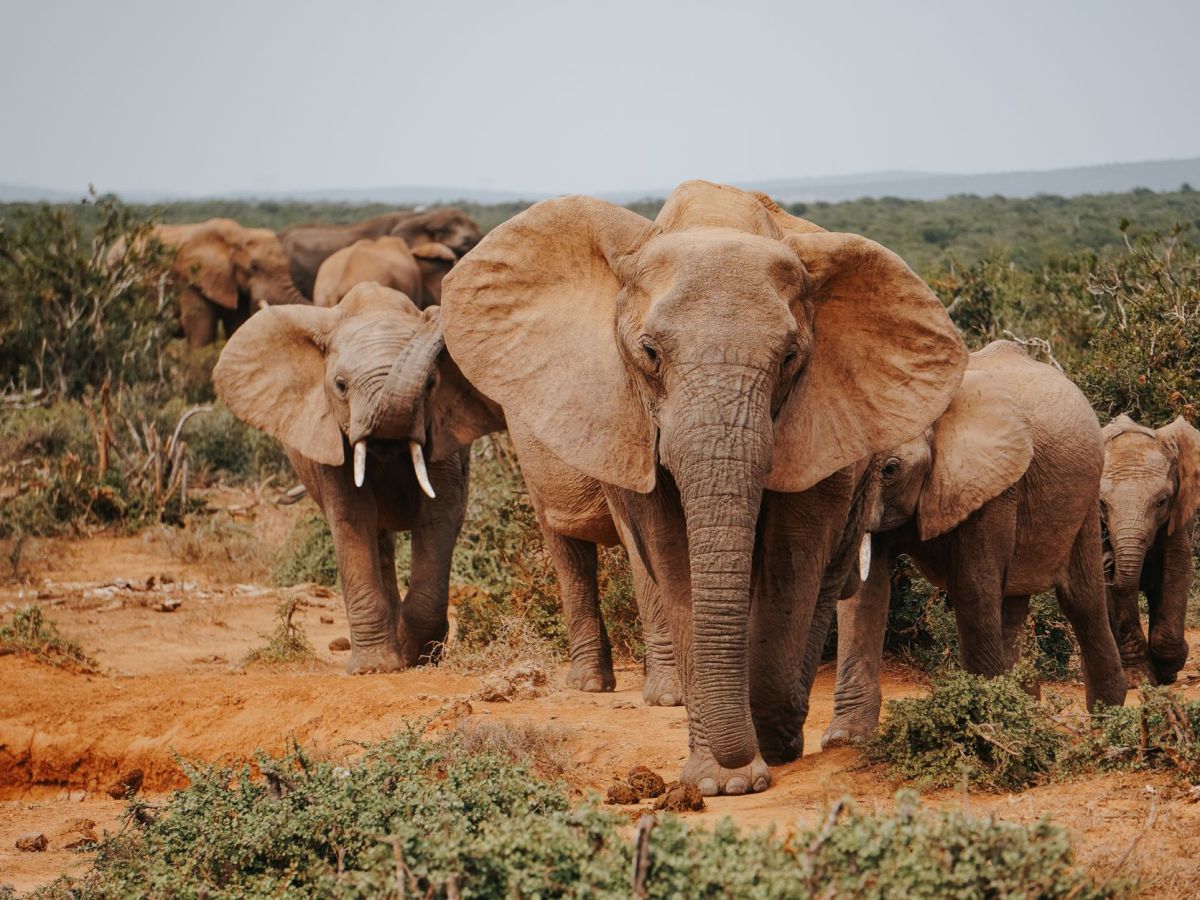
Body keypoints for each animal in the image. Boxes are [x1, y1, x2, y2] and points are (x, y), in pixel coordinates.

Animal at [213, 284, 504, 672]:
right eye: (340, 385)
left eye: (431, 383)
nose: (436, 314)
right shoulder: (328, 436)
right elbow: (351, 517)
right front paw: (375, 668)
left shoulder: (442, 433)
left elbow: (439, 514)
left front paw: (417, 657)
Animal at [440, 180, 967, 794]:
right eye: (649, 353)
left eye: (790, 358)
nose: (747, 764)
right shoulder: (627, 411)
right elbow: (670, 556)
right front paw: (719, 780)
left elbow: (794, 551)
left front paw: (760, 754)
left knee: (828, 574)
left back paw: (783, 729)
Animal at [822, 340, 1128, 749]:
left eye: (890, 469)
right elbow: (865, 595)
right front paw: (845, 740)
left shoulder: (993, 484)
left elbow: (973, 587)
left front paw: (983, 729)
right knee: (1012, 602)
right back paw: (1024, 708)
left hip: (1086, 495)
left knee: (1080, 599)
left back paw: (1106, 717)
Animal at [1100, 414, 1200, 685]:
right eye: (1102, 505)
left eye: (1162, 501)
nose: (1109, 560)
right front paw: (1138, 679)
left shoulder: (1179, 511)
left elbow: (1176, 571)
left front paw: (1169, 668)